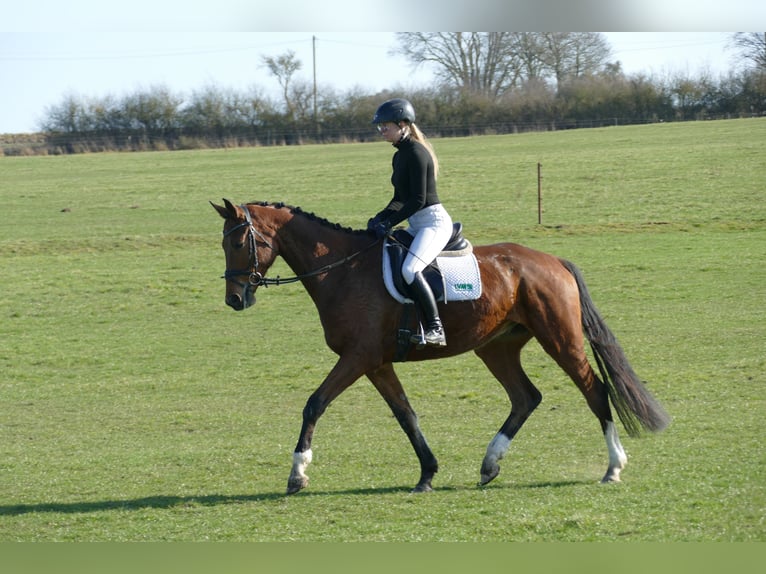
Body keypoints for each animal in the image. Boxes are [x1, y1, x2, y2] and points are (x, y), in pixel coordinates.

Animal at [211, 199, 669, 494]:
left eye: (237, 242)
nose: (234, 299)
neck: (340, 269)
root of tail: (553, 261)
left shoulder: (358, 357)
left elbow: (314, 403)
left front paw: (298, 473)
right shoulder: (376, 363)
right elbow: (406, 415)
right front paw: (427, 474)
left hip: (560, 339)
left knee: (594, 390)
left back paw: (613, 467)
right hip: (496, 347)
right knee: (526, 397)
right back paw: (489, 464)